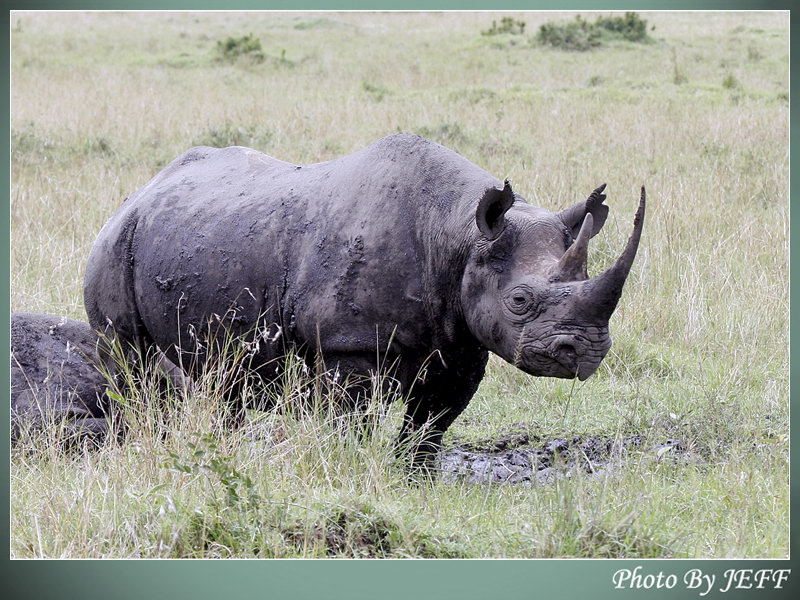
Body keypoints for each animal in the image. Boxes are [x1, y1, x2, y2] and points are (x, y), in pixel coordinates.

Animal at [84, 133, 645, 465]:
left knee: (224, 379)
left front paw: (412, 480)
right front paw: (349, 471)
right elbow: (351, 423)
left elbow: (431, 425)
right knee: (132, 363)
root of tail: (135, 194)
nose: (585, 352)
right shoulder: (348, 345)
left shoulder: (461, 343)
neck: (460, 234)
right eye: (520, 301)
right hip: (113, 248)